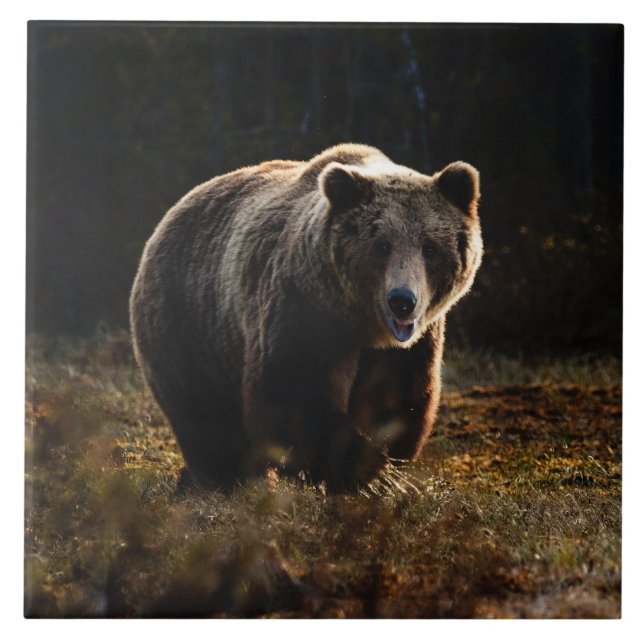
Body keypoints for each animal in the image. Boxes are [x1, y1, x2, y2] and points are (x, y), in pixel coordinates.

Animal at [129, 143, 483, 491]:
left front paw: (380, 466)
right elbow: (294, 395)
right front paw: (359, 467)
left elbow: (396, 398)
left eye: (430, 247)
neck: (361, 322)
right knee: (205, 414)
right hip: (191, 323)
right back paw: (228, 478)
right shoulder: (304, 309)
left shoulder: (410, 345)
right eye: (382, 246)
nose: (402, 301)